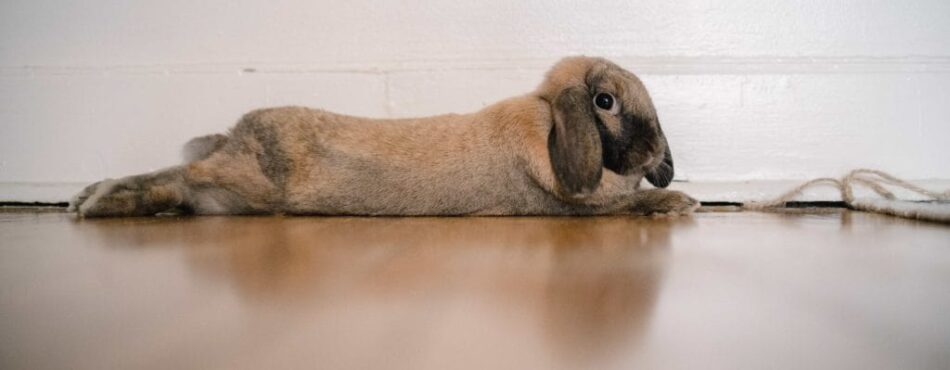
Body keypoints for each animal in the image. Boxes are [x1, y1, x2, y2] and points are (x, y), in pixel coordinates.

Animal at [70, 55, 700, 217]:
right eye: (604, 102)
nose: (655, 154)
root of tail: (235, 134)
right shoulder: (569, 208)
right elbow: (628, 205)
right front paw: (679, 201)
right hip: (246, 180)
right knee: (176, 176)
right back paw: (97, 200)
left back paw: (90, 195)